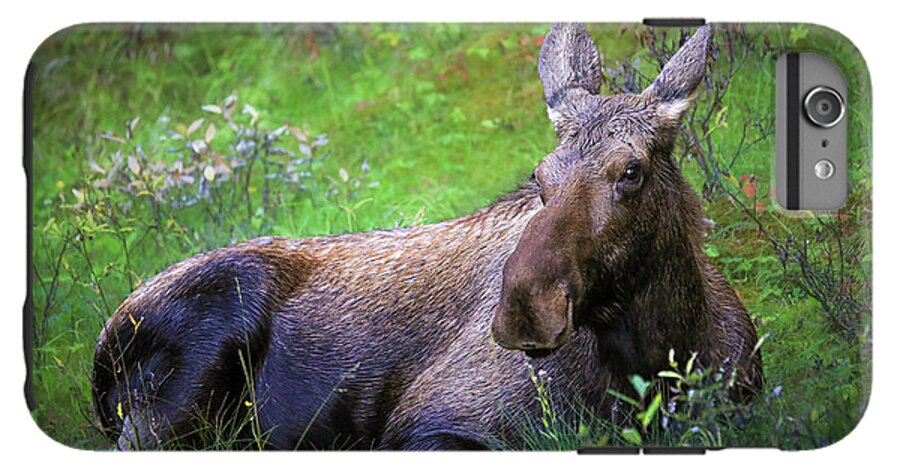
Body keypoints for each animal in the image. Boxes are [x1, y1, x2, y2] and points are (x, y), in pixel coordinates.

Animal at [95, 23, 764, 450]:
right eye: (539, 175)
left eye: (631, 171)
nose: (525, 307)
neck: (659, 357)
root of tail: (101, 353)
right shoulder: (432, 424)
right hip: (184, 378)